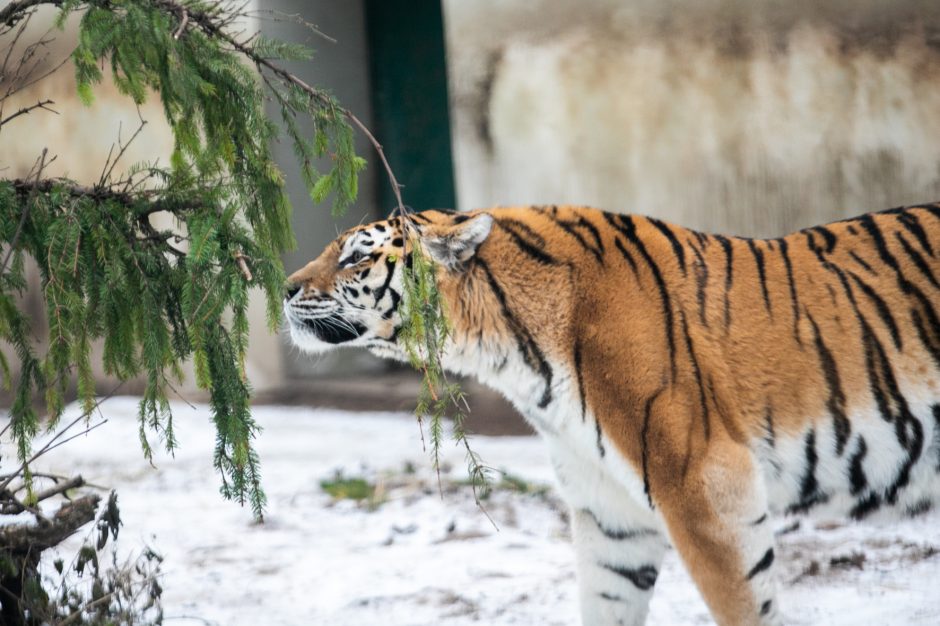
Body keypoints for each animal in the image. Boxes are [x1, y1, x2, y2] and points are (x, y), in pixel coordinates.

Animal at [282, 205, 940, 624]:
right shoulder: (610, 511)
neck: (516, 357)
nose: (284, 287)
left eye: (353, 257)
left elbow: (742, 604)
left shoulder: (704, 487)